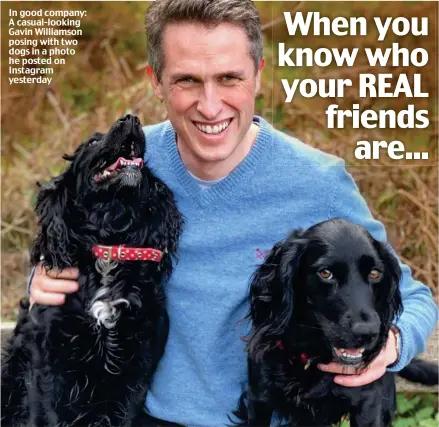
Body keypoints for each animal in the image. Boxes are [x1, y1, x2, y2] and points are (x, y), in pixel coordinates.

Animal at [239, 219, 438, 427]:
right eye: (326, 273)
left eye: (375, 273)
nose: (368, 333)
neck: (311, 356)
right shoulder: (259, 398)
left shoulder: (368, 405)